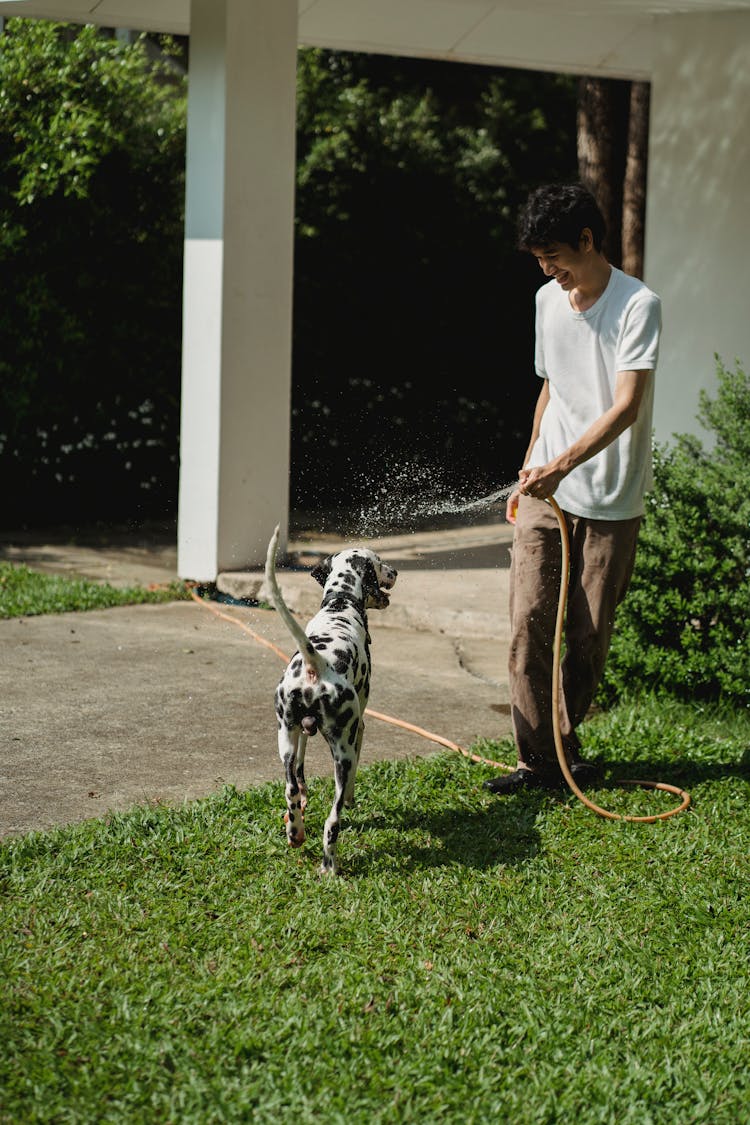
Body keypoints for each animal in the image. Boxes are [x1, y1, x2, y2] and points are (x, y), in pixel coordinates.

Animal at [264, 526, 398, 877]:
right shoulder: (359, 729)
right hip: (343, 752)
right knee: (332, 820)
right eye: (380, 561)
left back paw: (295, 832)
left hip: (284, 736)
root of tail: (317, 664)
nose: (396, 571)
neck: (340, 605)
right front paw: (351, 798)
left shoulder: (301, 734)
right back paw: (330, 866)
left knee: (290, 790)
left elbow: (300, 776)